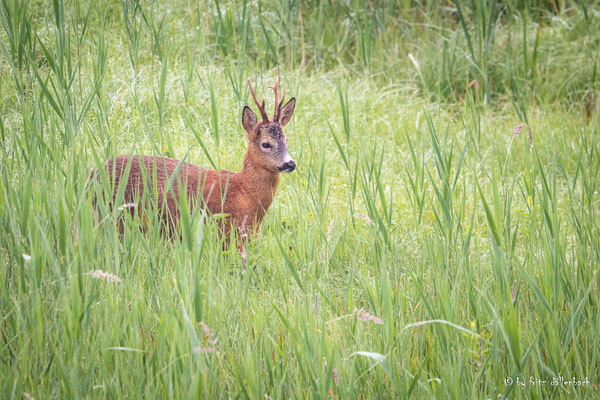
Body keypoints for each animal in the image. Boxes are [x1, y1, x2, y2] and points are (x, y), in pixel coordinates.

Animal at [93, 74, 296, 241]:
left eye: (286, 139)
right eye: (266, 144)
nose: (290, 163)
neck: (243, 192)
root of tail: (92, 174)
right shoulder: (227, 231)